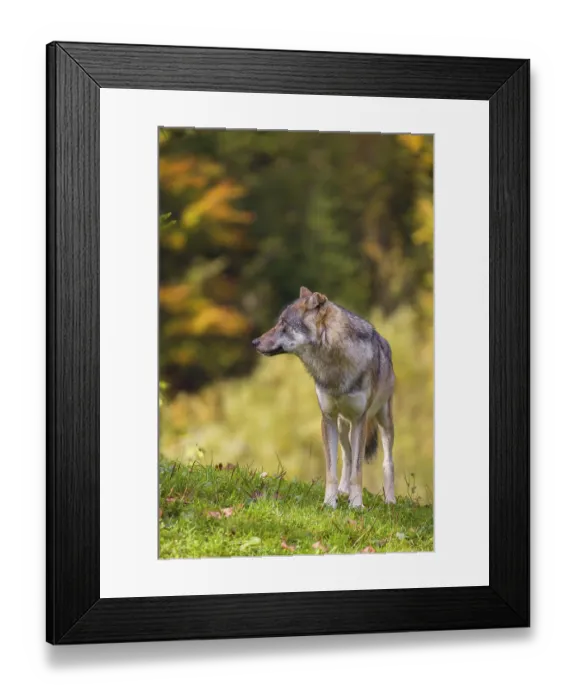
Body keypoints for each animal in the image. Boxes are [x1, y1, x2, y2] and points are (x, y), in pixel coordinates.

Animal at [252, 287, 395, 509]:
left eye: (283, 324)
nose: (254, 342)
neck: (333, 365)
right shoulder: (327, 419)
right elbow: (331, 470)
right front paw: (330, 502)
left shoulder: (360, 420)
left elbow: (358, 472)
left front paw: (356, 505)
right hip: (343, 426)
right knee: (347, 455)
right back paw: (343, 491)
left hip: (383, 421)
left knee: (387, 461)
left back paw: (390, 499)